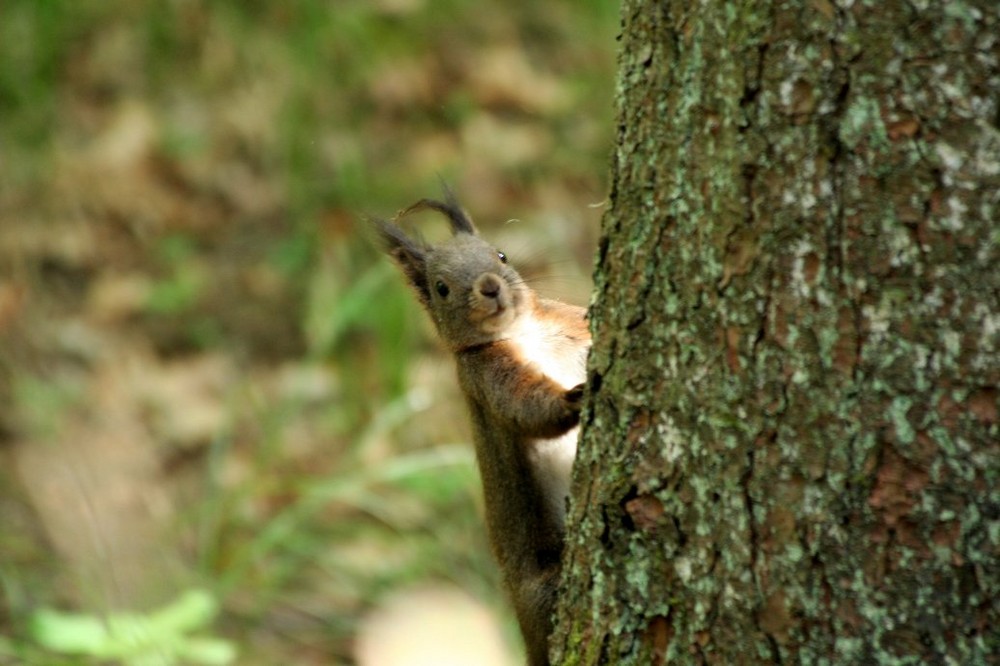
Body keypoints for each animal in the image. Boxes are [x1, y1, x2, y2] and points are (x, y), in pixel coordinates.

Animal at [376, 189, 592, 660]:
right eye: (441, 288)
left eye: (501, 253)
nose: (490, 286)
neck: (524, 333)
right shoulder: (485, 378)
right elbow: (524, 407)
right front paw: (572, 401)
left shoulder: (567, 321)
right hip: (542, 591)